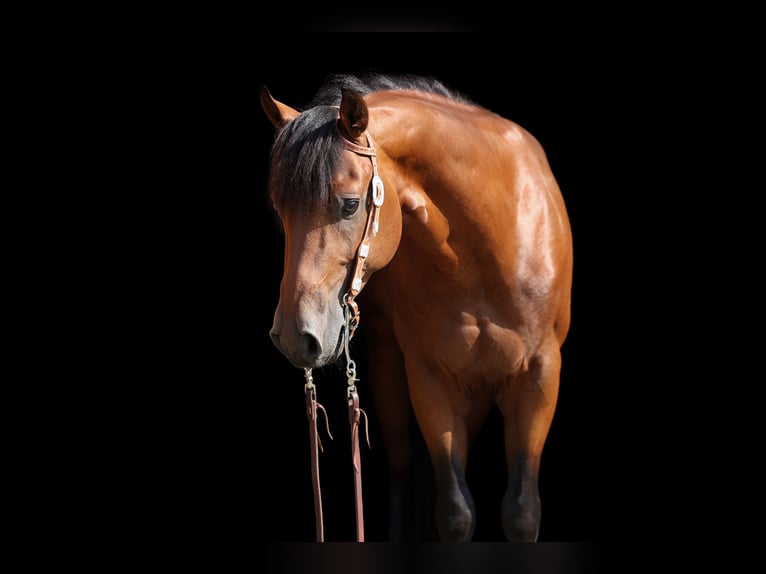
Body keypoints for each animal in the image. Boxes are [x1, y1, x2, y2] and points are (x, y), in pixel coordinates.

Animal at [260, 73, 573, 542]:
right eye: (280, 210)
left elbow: (521, 511)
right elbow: (456, 511)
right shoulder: (430, 378)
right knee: (401, 468)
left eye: (350, 204)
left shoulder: (540, 376)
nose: (296, 336)